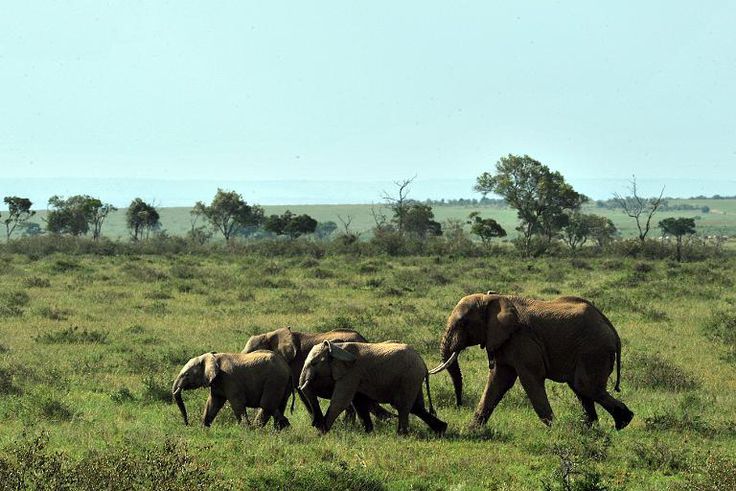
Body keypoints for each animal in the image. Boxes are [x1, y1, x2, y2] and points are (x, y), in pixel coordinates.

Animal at [299, 341, 447, 435]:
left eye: (314, 363)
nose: (316, 424)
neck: (335, 347)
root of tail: (423, 363)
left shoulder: (351, 373)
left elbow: (340, 402)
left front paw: (322, 433)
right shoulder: (355, 376)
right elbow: (359, 402)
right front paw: (368, 432)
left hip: (409, 377)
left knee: (403, 406)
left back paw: (401, 435)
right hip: (413, 378)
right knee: (416, 407)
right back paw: (441, 430)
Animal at [429, 293, 634, 430]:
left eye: (462, 323)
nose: (458, 405)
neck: (493, 298)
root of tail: (612, 330)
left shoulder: (523, 341)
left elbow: (530, 380)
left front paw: (555, 429)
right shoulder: (505, 341)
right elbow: (497, 381)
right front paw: (472, 430)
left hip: (593, 350)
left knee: (585, 386)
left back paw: (623, 422)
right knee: (582, 389)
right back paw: (593, 429)